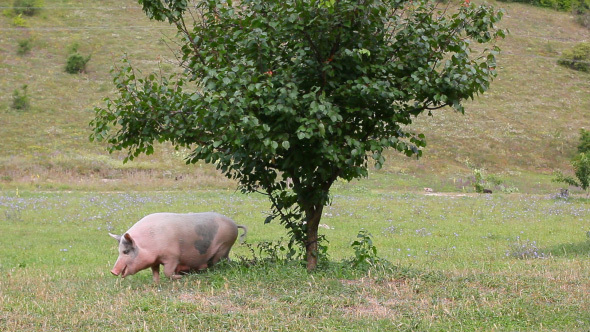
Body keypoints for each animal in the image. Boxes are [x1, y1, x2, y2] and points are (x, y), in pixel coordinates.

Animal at [109, 213, 247, 282]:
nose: (112, 271)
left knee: (218, 262)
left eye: (126, 251)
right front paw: (155, 284)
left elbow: (167, 272)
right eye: (119, 251)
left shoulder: (173, 256)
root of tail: (234, 224)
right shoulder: (155, 260)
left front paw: (180, 277)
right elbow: (155, 272)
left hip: (224, 245)